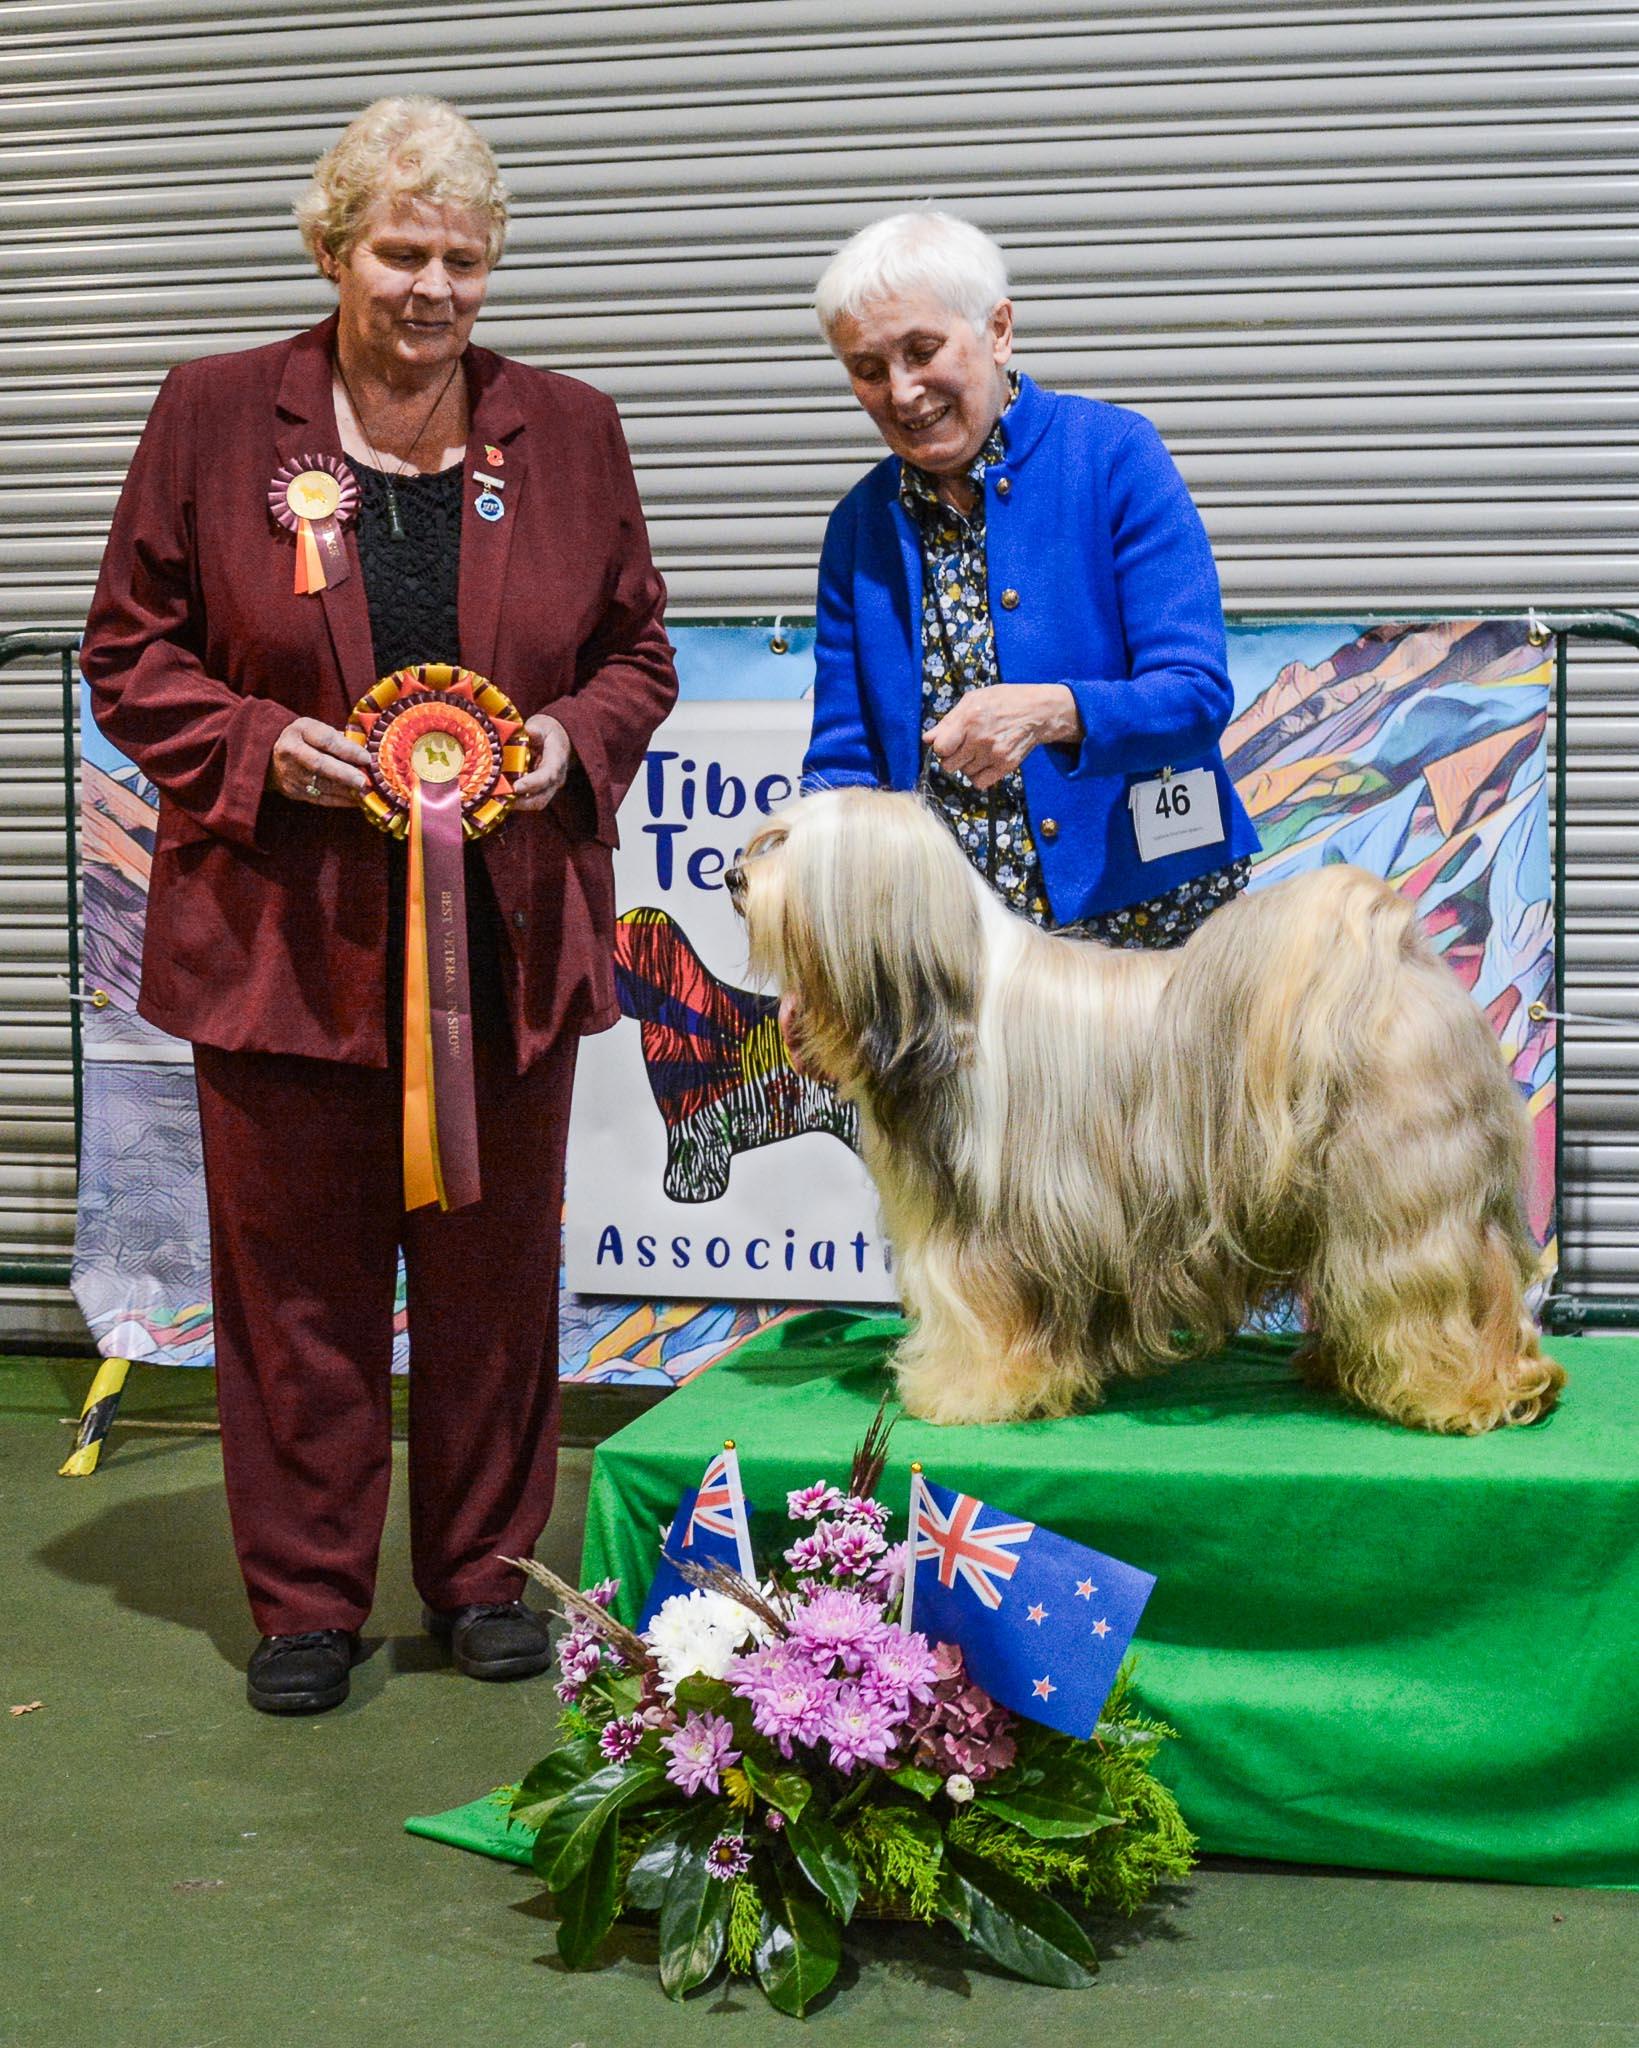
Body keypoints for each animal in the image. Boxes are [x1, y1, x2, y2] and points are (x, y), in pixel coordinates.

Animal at [729, 786, 1565, 1441]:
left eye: (789, 847)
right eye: (768, 838)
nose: (734, 875)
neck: (947, 1003)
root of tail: (1394, 960)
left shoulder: (991, 1234)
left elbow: (985, 1315)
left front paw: (968, 1392)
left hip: (1407, 1198)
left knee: (1442, 1291)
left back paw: (1460, 1392)